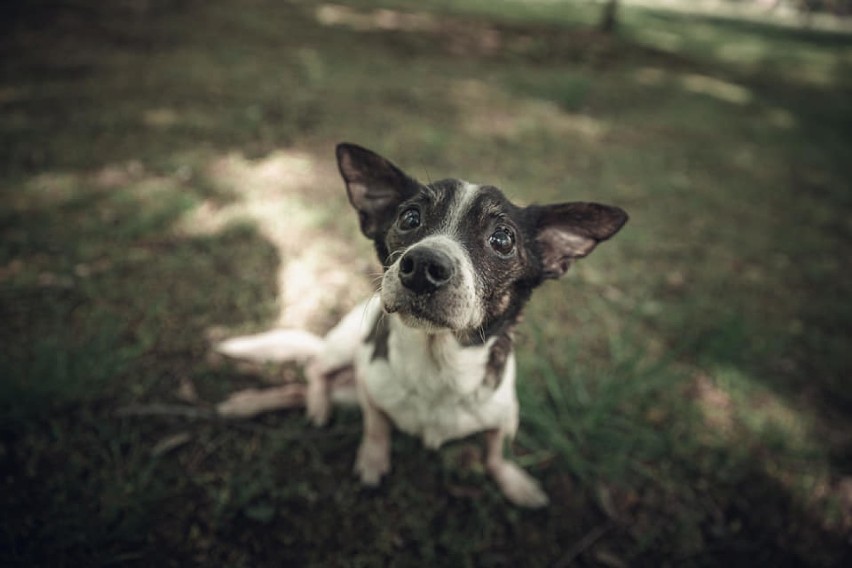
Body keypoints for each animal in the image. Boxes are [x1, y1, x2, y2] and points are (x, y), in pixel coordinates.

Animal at [215, 144, 624, 508]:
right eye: (409, 218)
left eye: (503, 239)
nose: (424, 265)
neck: (438, 363)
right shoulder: (371, 388)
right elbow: (376, 427)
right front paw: (372, 461)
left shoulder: (505, 417)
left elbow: (497, 453)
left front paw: (515, 483)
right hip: (345, 346)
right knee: (314, 369)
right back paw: (296, 405)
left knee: (295, 390)